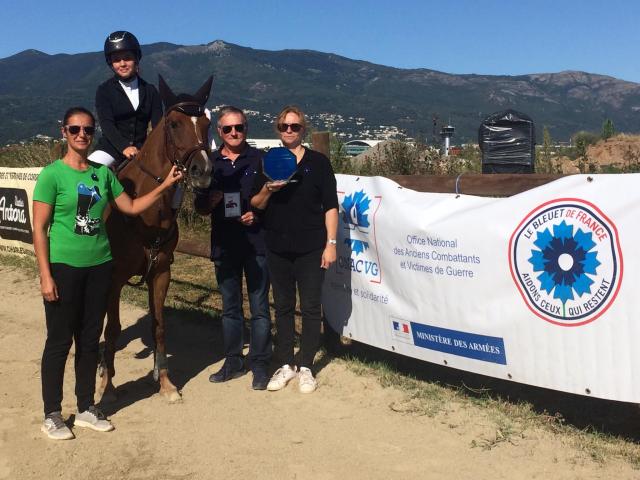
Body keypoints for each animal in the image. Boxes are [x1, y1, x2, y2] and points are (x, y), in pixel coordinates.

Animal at [98, 77, 212, 404]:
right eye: (174, 124)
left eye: (208, 123)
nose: (203, 172)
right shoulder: (114, 278)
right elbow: (113, 329)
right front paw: (108, 387)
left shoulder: (161, 271)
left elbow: (159, 326)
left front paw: (165, 383)